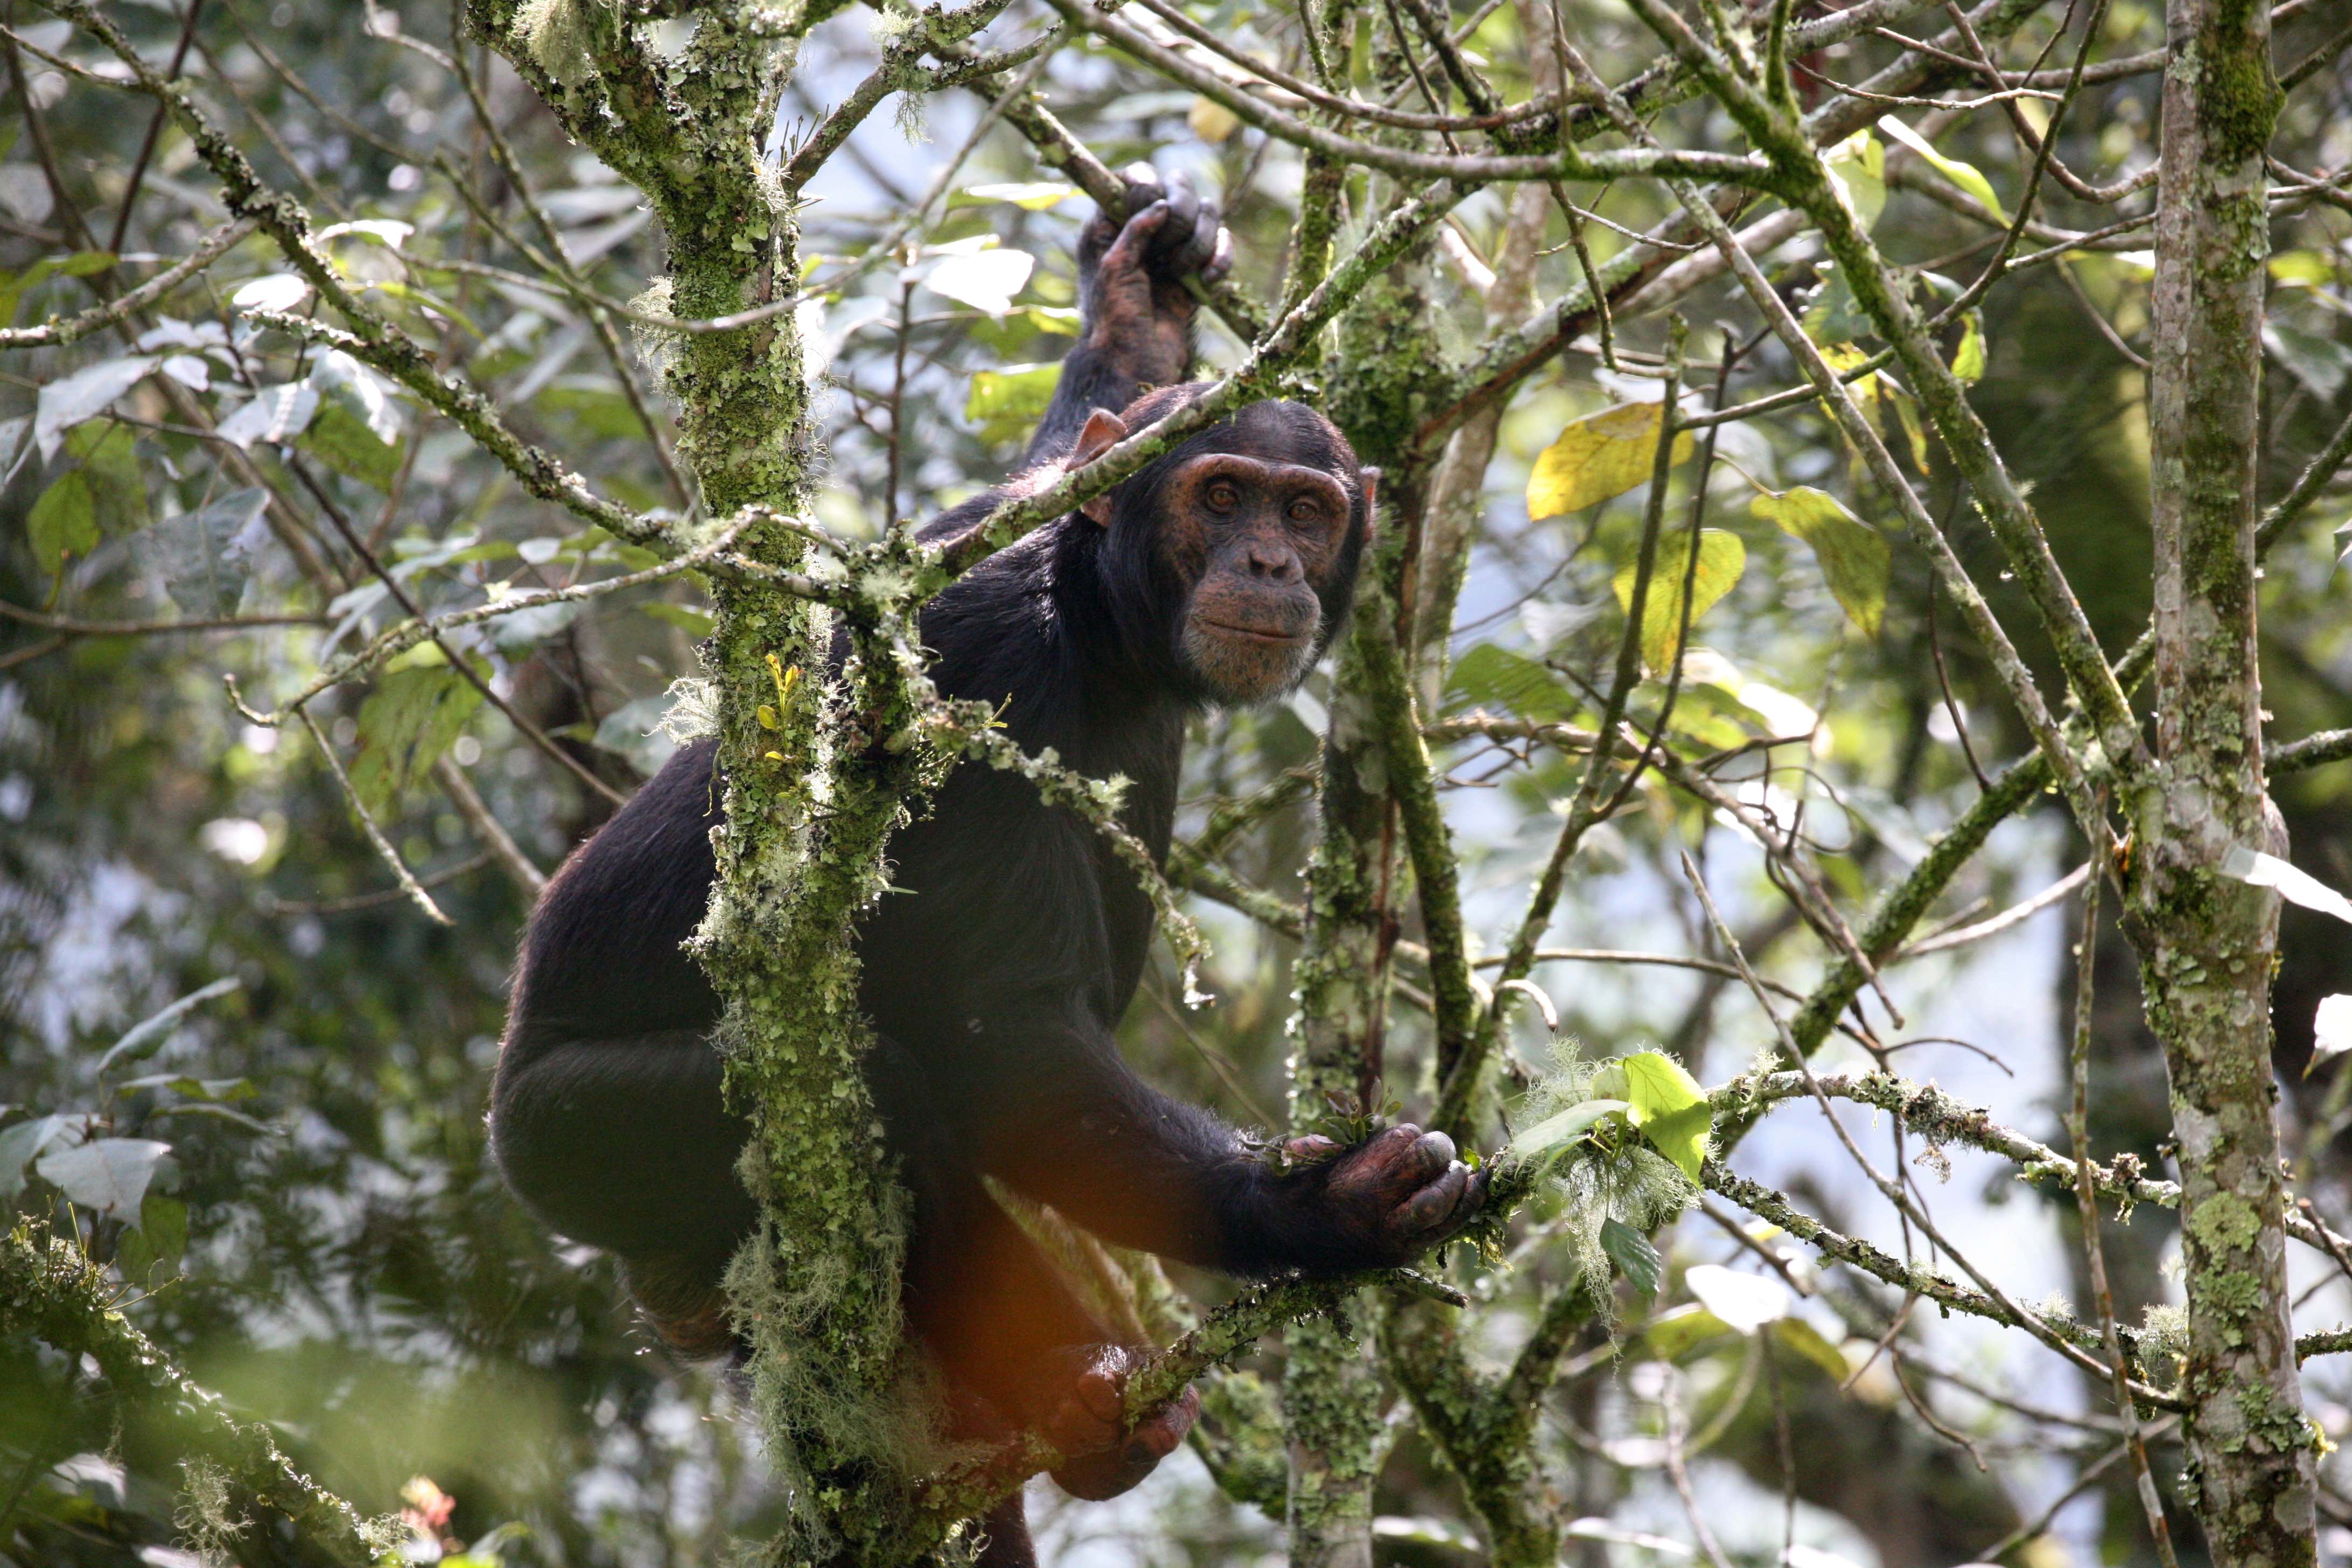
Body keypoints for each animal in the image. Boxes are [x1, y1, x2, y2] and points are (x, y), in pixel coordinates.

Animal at [491, 162, 1486, 1560]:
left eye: (1305, 506)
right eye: (1220, 495)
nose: (1270, 561)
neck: (1100, 627)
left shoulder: (1013, 512)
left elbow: (1079, 424)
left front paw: (1140, 282)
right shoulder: (978, 664)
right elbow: (1014, 1037)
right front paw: (1322, 1210)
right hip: (574, 1139)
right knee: (890, 1092)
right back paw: (1070, 1400)